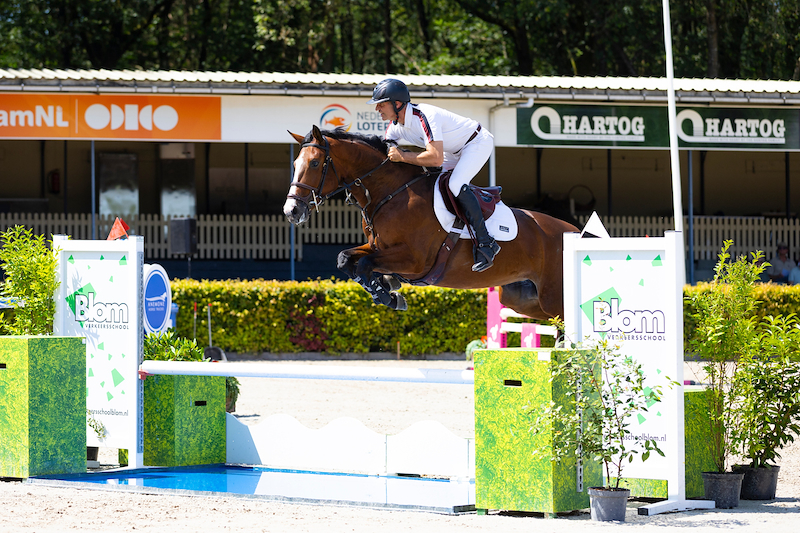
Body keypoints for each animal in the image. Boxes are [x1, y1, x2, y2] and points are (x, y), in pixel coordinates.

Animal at [283, 126, 579, 320]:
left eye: (315, 163)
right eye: (295, 163)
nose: (291, 211)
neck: (390, 191)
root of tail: (574, 231)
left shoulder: (414, 261)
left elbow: (365, 264)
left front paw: (386, 293)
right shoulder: (378, 247)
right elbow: (346, 259)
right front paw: (387, 288)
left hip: (554, 300)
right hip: (526, 302)